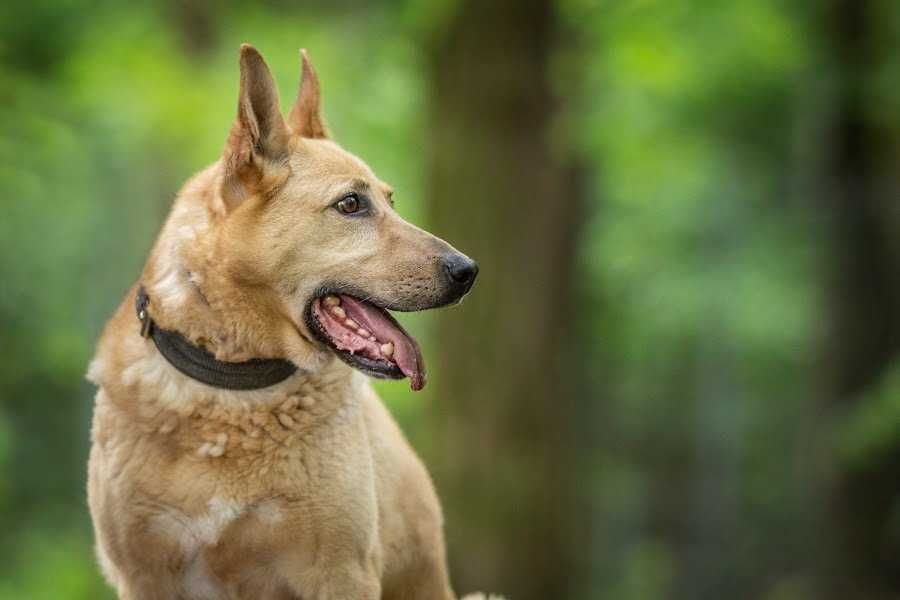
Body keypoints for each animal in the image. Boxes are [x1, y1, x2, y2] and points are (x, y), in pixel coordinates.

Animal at [84, 45, 492, 600]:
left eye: (391, 201)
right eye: (351, 204)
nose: (467, 271)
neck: (234, 391)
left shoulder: (341, 573)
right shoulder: (145, 576)